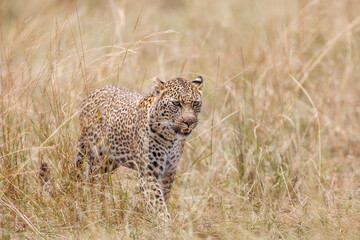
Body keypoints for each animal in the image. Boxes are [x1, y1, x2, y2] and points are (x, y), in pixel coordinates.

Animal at [74, 76, 204, 220]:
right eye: (176, 103)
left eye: (195, 103)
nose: (190, 122)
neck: (171, 138)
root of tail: (94, 92)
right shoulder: (148, 174)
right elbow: (158, 204)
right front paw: (166, 224)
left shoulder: (168, 172)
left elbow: (163, 198)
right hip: (86, 149)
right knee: (79, 173)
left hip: (107, 162)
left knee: (95, 179)